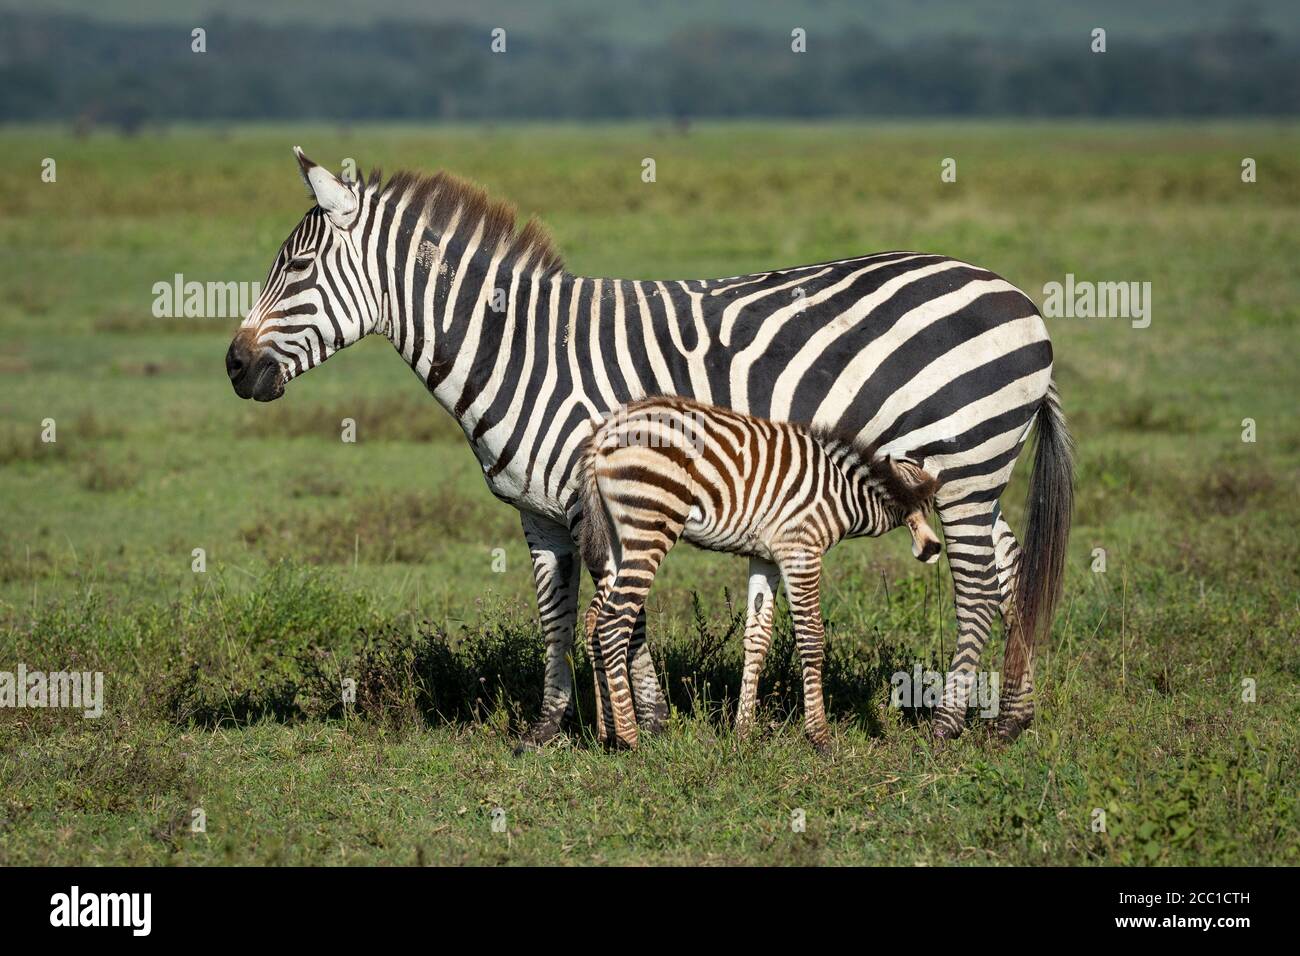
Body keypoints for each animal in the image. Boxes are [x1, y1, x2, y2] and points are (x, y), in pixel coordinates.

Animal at [585, 398, 941, 754]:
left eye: (930, 504)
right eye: (915, 502)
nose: (933, 549)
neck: (844, 494)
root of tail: (607, 431)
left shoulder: (765, 558)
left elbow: (757, 636)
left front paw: (743, 731)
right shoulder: (799, 549)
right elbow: (811, 637)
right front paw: (819, 736)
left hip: (616, 540)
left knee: (593, 619)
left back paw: (605, 732)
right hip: (650, 525)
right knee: (614, 621)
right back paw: (629, 737)